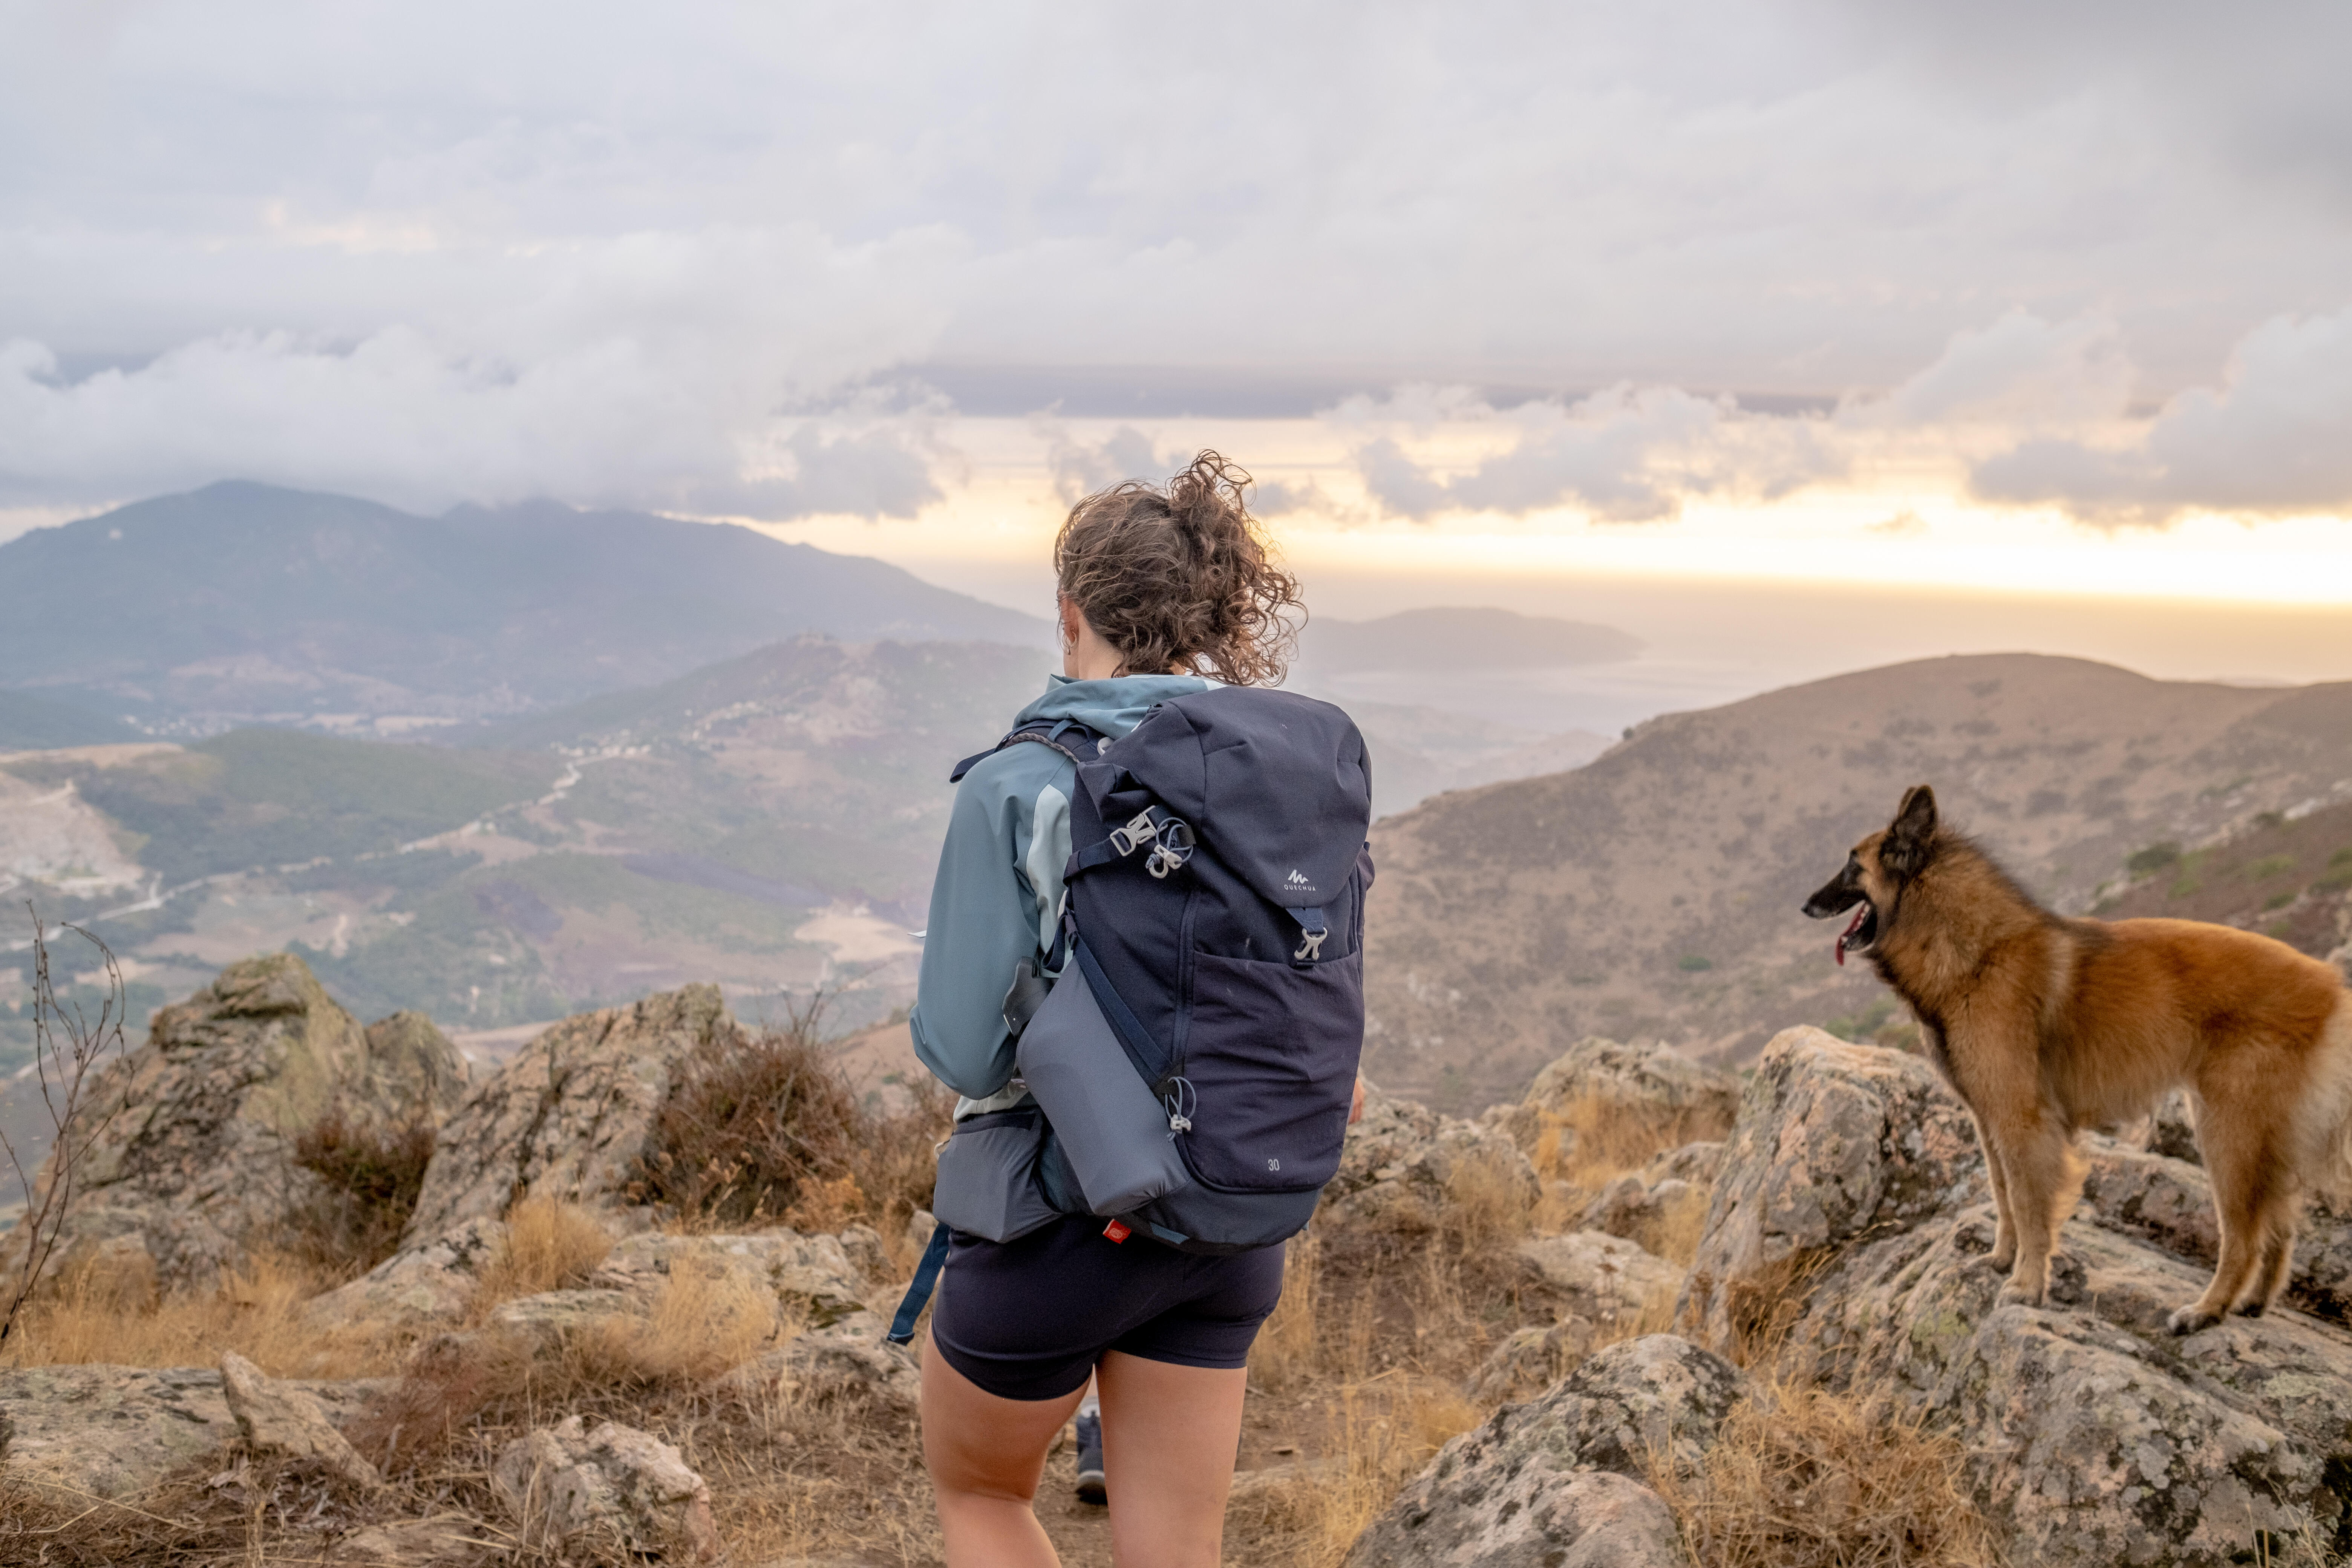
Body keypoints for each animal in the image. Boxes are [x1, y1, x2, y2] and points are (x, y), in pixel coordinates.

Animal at [1797, 790, 2352, 1335]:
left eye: (1853, 866)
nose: (1805, 905)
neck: (1979, 954)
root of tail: (2330, 986)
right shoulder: (1989, 1120)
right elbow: (2002, 1194)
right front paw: (2003, 1260)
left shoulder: (2022, 1122)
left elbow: (2028, 1203)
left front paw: (2027, 1284)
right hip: (2263, 1140)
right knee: (2281, 1226)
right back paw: (2253, 1303)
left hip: (2227, 1135)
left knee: (2244, 1238)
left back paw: (2207, 1310)